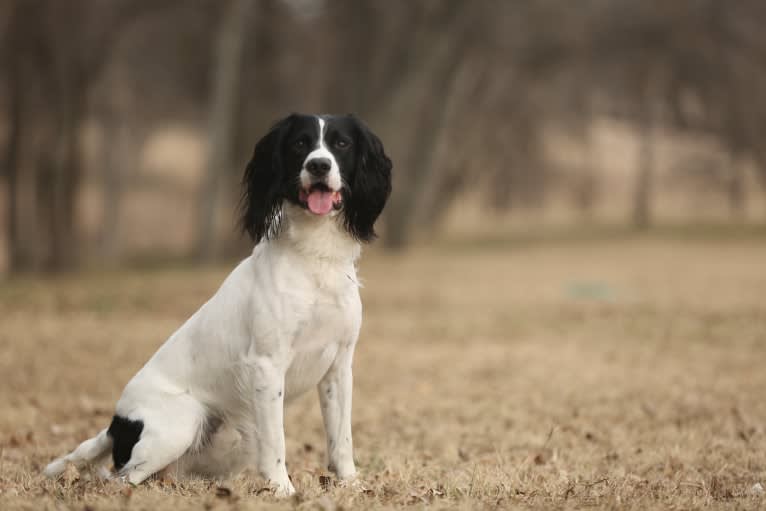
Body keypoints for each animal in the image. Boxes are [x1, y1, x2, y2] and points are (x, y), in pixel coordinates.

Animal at [45, 113, 392, 496]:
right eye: (300, 143)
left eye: (341, 143)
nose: (318, 165)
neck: (313, 259)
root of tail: (116, 424)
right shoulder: (267, 365)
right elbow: (276, 440)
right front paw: (282, 489)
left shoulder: (339, 366)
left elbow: (341, 437)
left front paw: (350, 484)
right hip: (182, 423)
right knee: (122, 479)